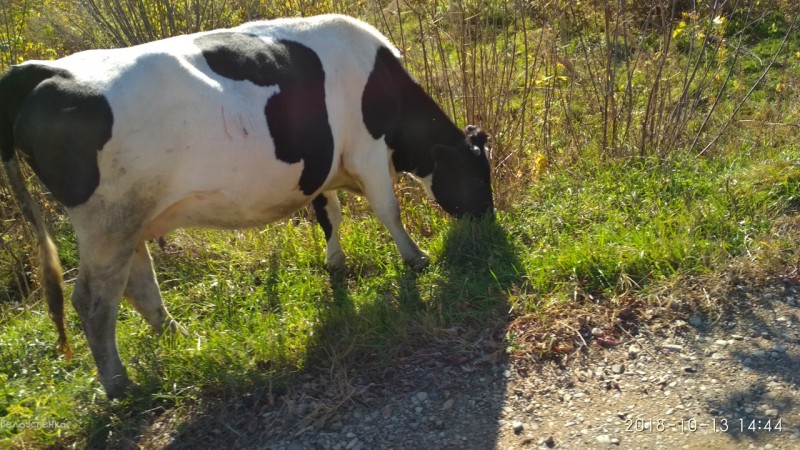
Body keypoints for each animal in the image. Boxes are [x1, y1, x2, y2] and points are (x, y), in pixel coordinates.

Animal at [0, 14, 494, 400]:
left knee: (137, 285)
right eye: (478, 174)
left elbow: (328, 214)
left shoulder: (323, 167)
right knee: (94, 300)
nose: (489, 222)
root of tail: (43, 71)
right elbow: (388, 210)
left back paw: (181, 338)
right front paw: (416, 259)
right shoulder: (368, 151)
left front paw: (335, 262)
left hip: (129, 220)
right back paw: (120, 383)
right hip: (108, 221)